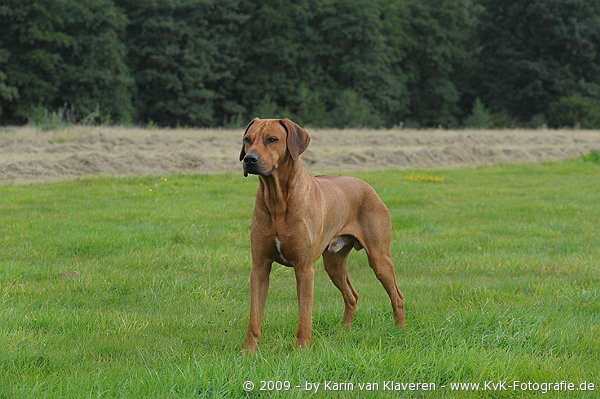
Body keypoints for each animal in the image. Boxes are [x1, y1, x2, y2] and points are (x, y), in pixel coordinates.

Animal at [239, 117, 404, 352]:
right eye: (247, 139)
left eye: (272, 139)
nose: (249, 159)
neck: (278, 200)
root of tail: (366, 185)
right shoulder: (260, 266)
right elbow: (254, 316)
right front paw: (249, 351)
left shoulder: (304, 268)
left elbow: (304, 315)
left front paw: (302, 350)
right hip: (333, 262)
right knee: (352, 296)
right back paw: (345, 331)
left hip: (380, 258)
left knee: (397, 296)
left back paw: (401, 331)